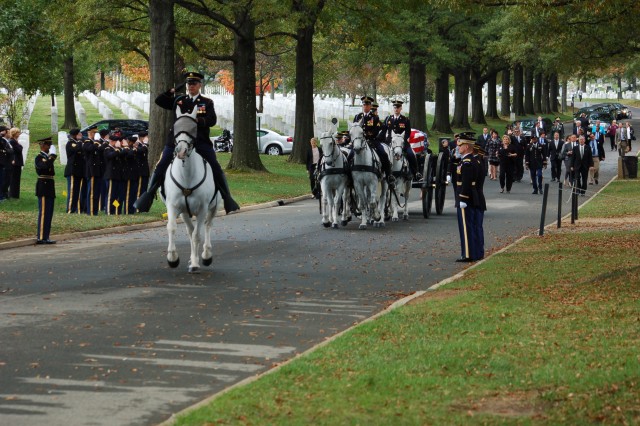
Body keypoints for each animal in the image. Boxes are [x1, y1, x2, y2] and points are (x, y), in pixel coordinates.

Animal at [162, 106, 222, 272]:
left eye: (193, 127)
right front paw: (172, 258)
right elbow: (172, 228)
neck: (187, 177)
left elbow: (197, 235)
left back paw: (206, 255)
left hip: (213, 207)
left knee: (207, 226)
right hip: (185, 213)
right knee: (190, 230)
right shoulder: (173, 206)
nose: (181, 150)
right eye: (176, 126)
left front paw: (197, 262)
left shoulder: (202, 208)